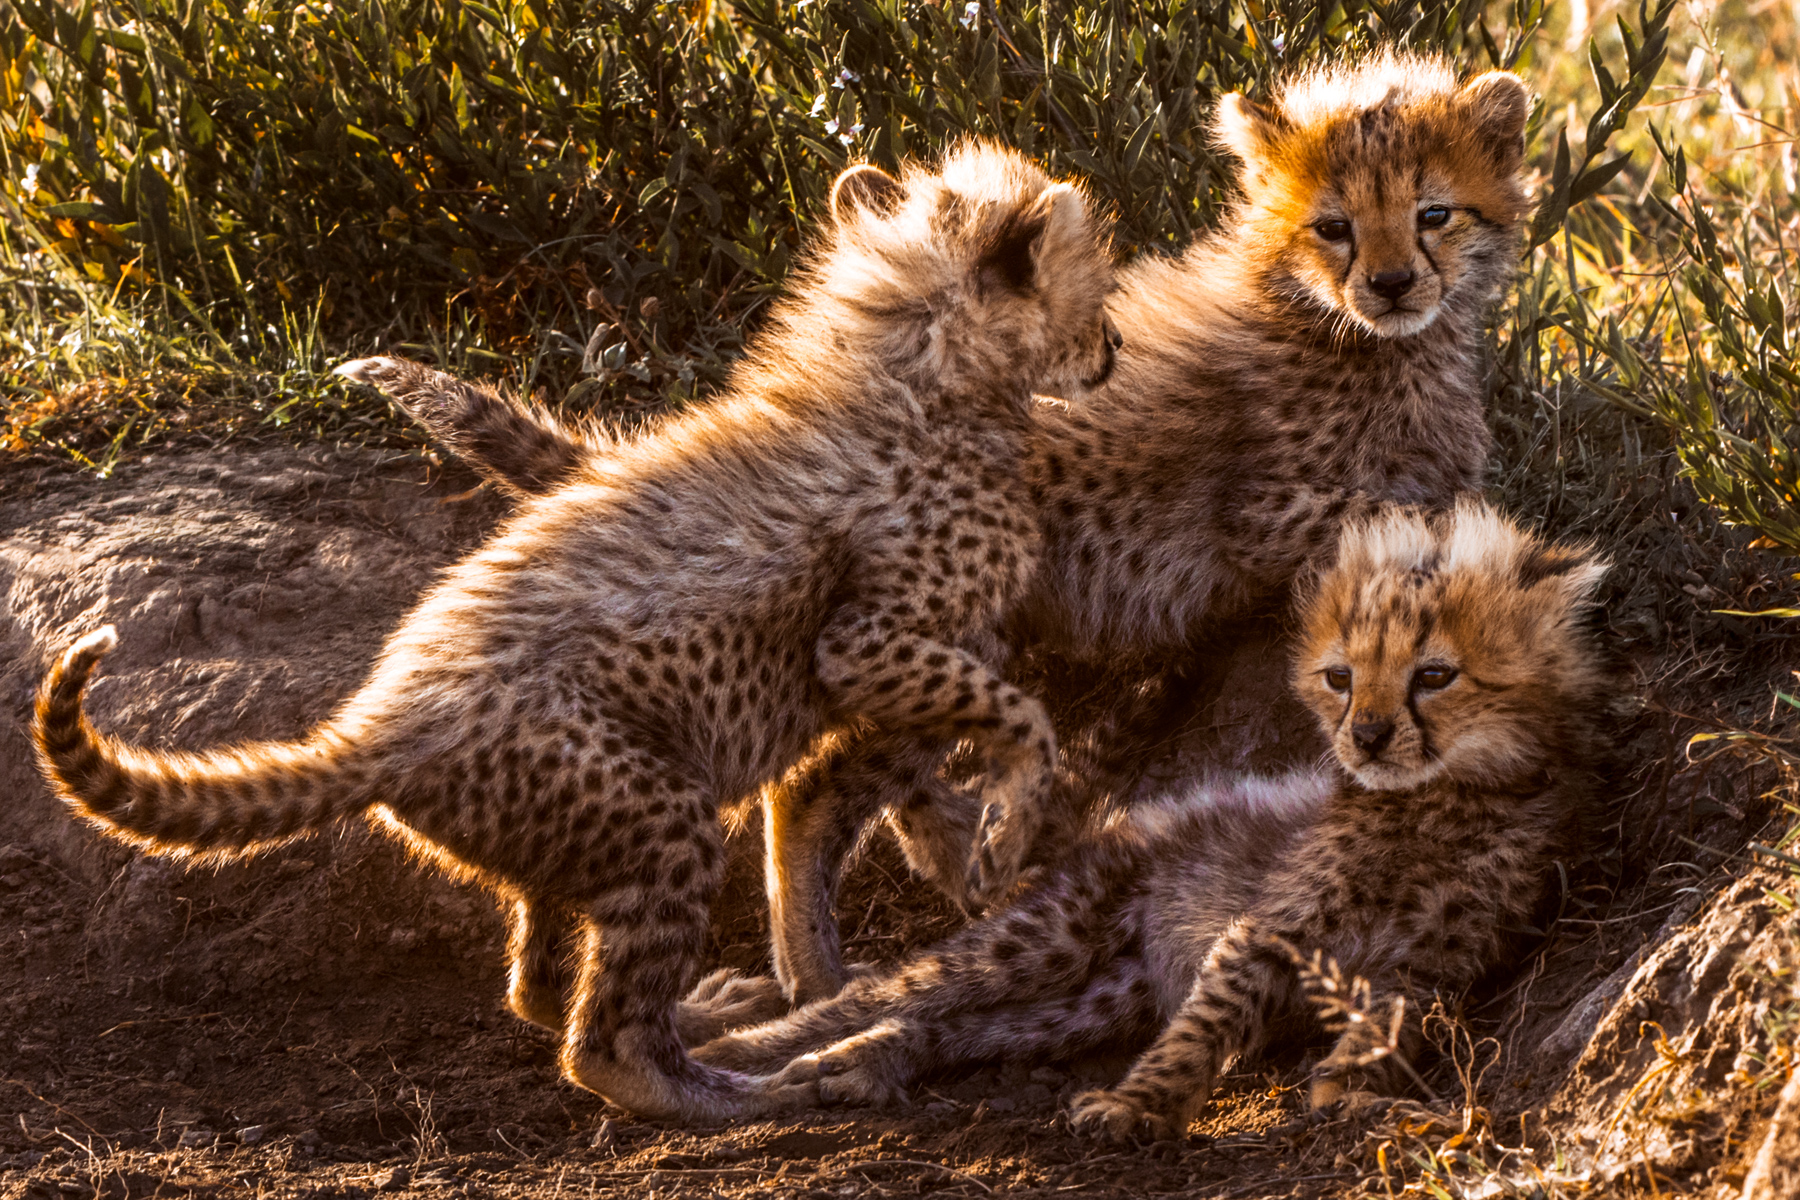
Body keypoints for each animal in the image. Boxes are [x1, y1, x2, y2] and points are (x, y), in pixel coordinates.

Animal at [31, 142, 1121, 1123]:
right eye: (1095, 298)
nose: (1112, 351)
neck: (911, 364)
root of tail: (379, 723)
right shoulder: (868, 639)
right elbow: (1019, 714)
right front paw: (1002, 832)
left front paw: (964, 840)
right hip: (654, 812)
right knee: (599, 1046)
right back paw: (727, 1094)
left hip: (560, 826)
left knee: (541, 984)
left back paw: (705, 1012)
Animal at [354, 52, 1536, 1011]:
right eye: (1332, 225)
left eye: (1434, 213)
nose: (1392, 281)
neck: (1341, 331)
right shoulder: (1287, 535)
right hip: (926, 637)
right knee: (808, 792)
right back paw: (827, 967)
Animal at [688, 499, 1624, 1141]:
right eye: (1342, 678)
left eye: (1433, 675)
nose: (1363, 736)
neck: (1444, 804)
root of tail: (1116, 827)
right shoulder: (1271, 929)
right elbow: (1203, 1027)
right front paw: (1137, 1108)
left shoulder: (1438, 964)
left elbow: (1399, 1021)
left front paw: (1351, 1081)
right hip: (1052, 932)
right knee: (882, 994)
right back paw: (729, 1052)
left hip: (1100, 994)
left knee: (951, 1023)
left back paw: (871, 1060)